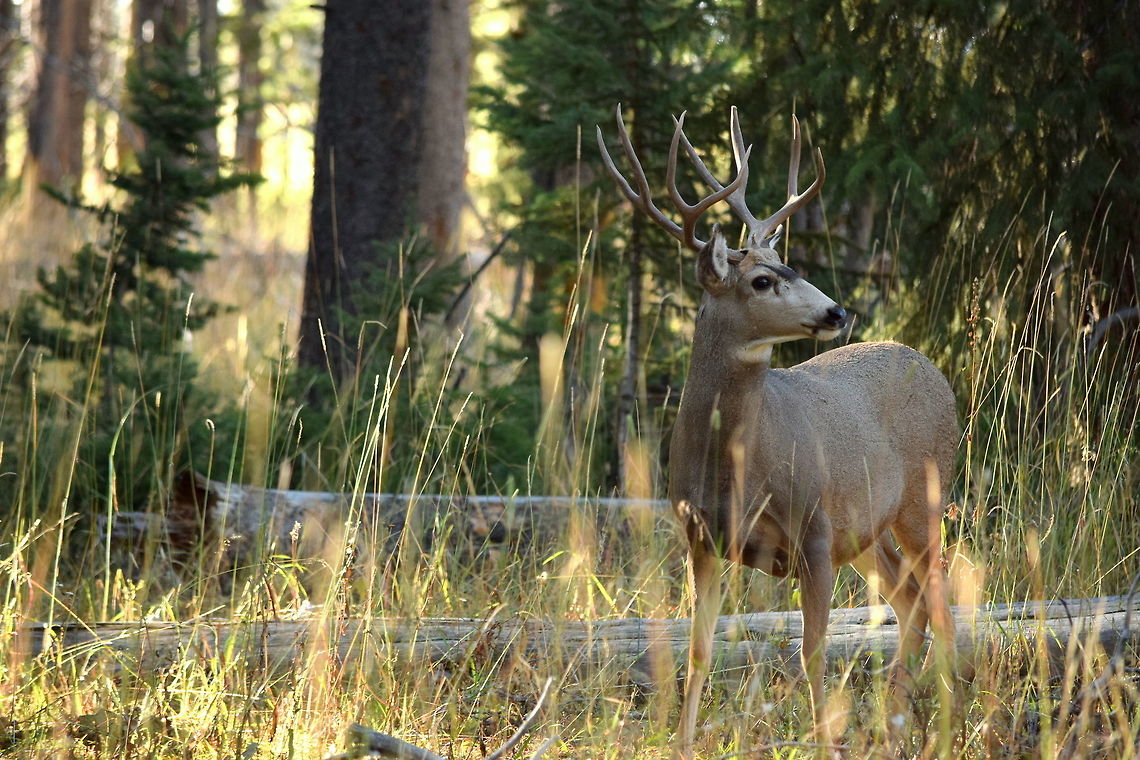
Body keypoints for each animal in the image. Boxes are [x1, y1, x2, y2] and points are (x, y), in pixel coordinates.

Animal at [597, 105, 958, 754]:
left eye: (791, 266)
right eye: (762, 280)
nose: (837, 310)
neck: (736, 464)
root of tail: (929, 363)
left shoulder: (813, 530)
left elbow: (812, 652)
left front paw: (824, 745)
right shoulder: (701, 536)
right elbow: (698, 649)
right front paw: (682, 744)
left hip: (924, 498)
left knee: (939, 602)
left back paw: (939, 731)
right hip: (867, 530)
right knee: (909, 598)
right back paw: (892, 728)